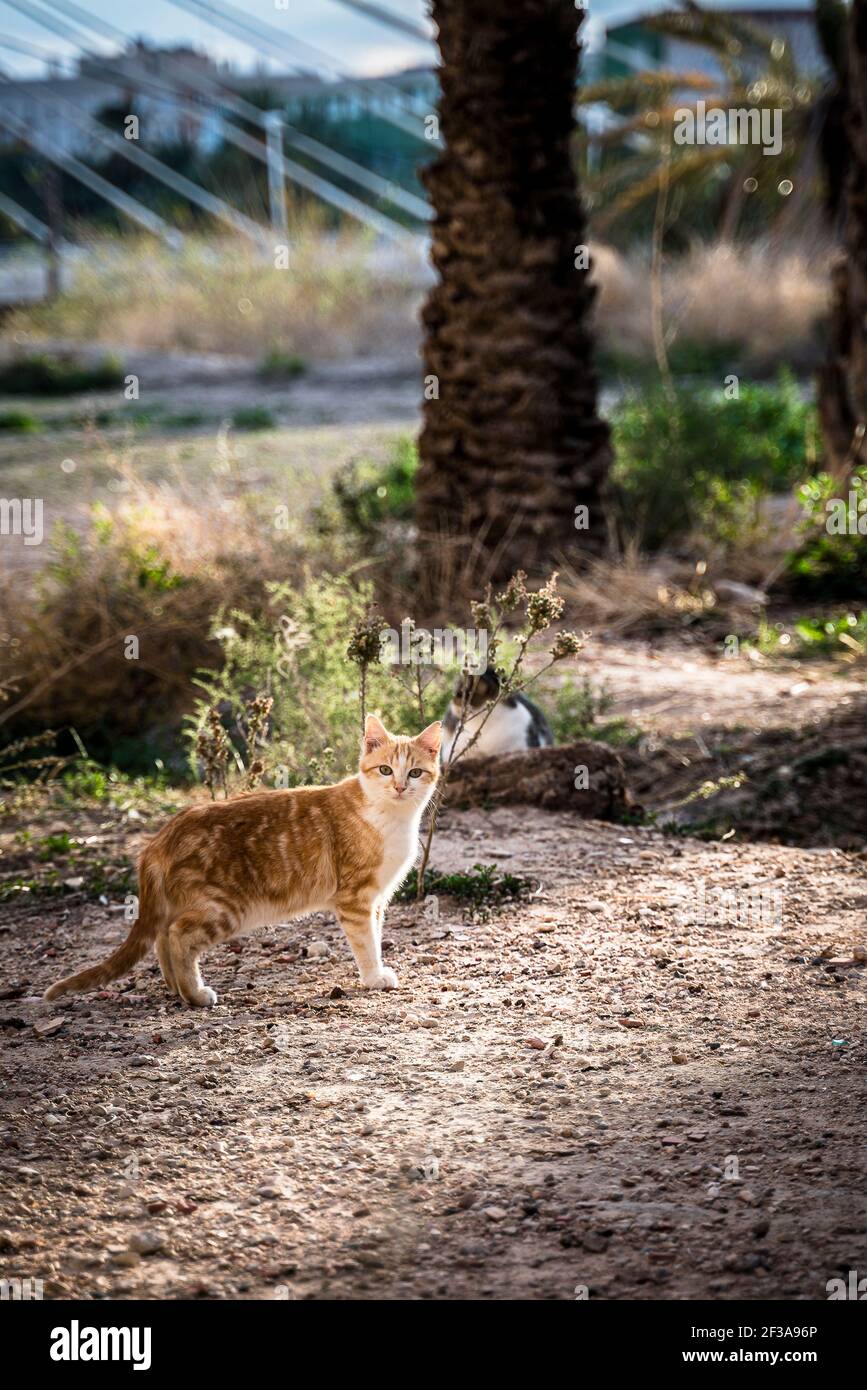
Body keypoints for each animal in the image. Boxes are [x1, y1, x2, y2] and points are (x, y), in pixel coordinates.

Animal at [44, 717, 439, 1011]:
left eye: (415, 773)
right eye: (385, 769)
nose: (400, 787)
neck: (390, 817)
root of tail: (162, 835)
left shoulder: (377, 900)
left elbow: (376, 935)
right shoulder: (356, 899)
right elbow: (366, 943)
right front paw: (374, 977)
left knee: (161, 936)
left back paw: (175, 989)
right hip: (224, 908)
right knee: (177, 936)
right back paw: (195, 994)